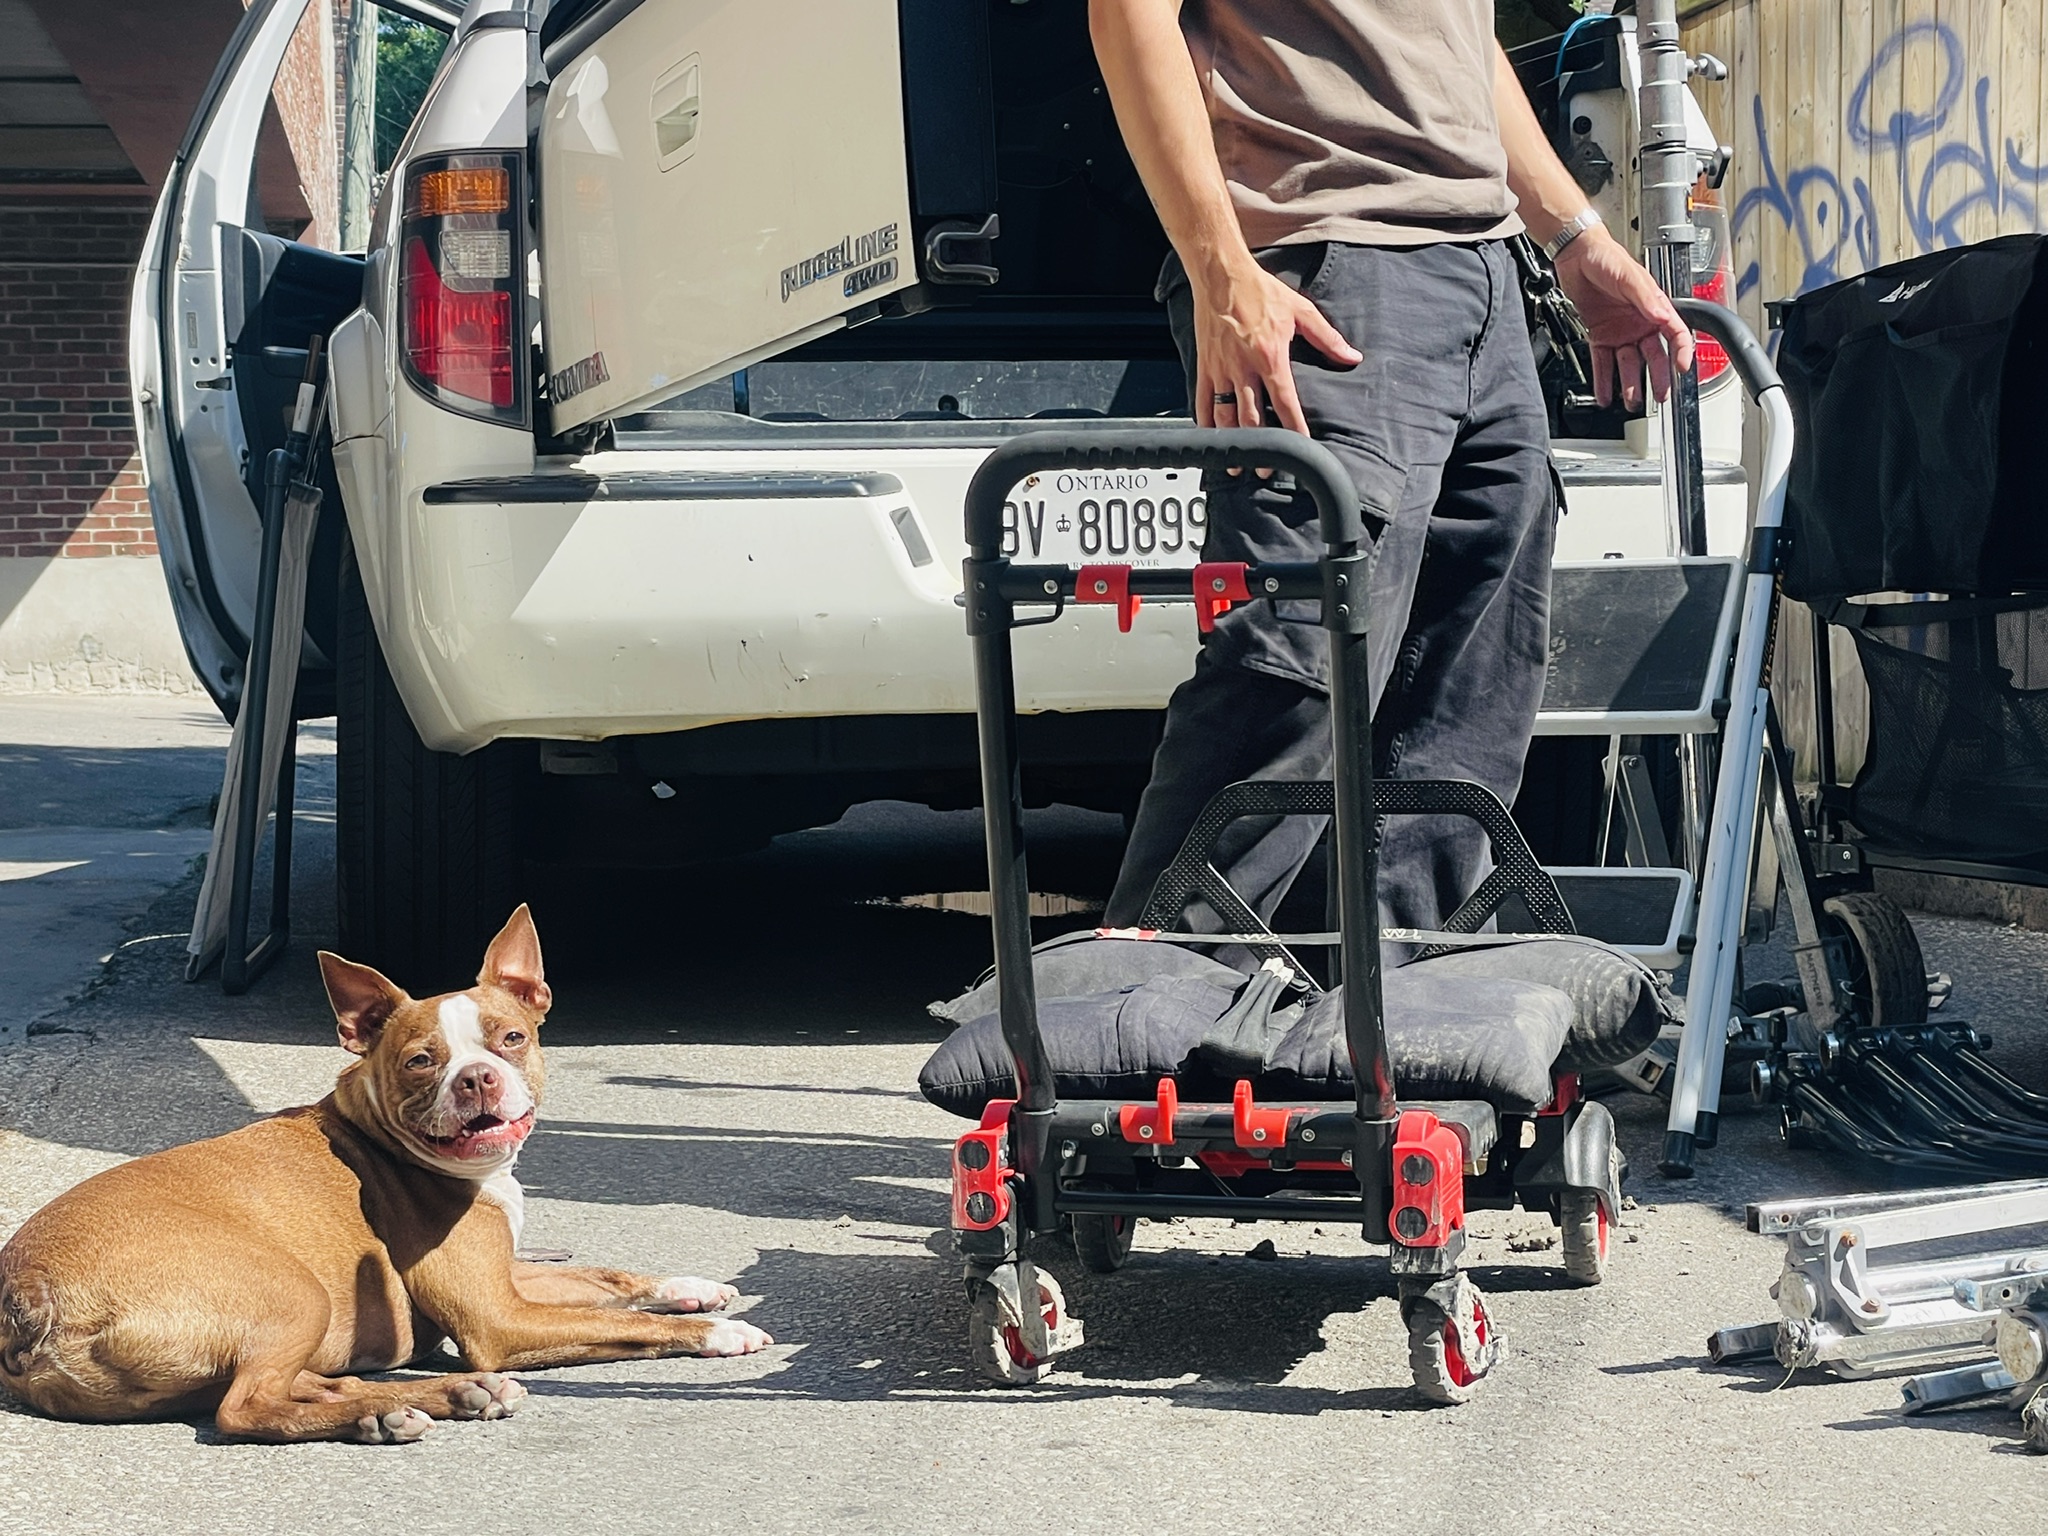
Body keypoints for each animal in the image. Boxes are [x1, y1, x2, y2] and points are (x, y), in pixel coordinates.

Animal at [0, 906, 769, 1443]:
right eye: (420, 1062)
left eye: (511, 1038)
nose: (477, 1078)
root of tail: (30, 1289)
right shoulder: (498, 1321)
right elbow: (619, 1321)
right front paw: (717, 1333)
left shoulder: (509, 1278)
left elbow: (605, 1279)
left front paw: (692, 1289)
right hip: (293, 1294)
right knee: (245, 1408)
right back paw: (428, 1401)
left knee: (285, 1389)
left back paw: (411, 1405)